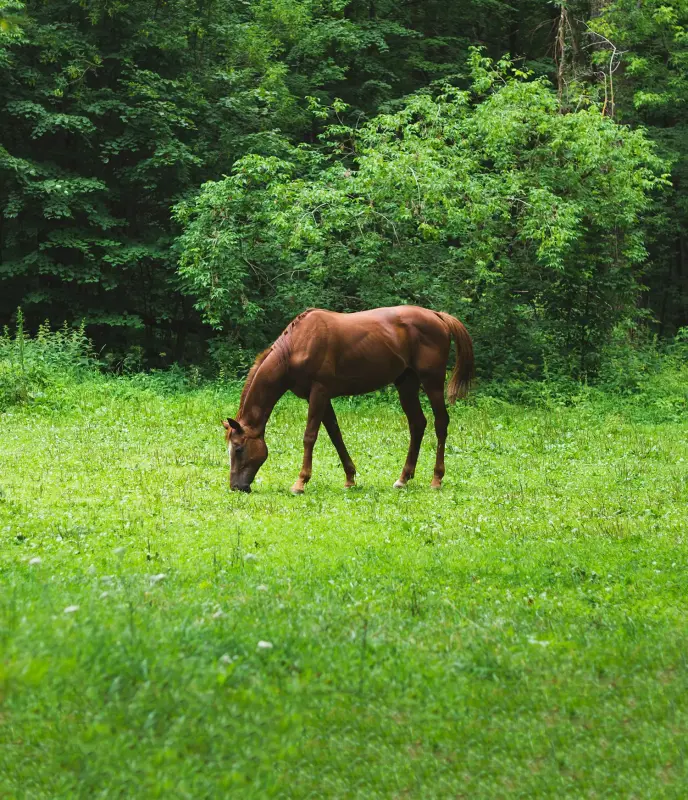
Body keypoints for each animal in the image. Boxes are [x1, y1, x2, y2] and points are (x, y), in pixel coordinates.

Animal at [223, 306, 476, 494]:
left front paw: (300, 482)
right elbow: (336, 435)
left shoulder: (319, 393)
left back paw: (436, 478)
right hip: (406, 384)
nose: (236, 487)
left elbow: (310, 437)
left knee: (440, 423)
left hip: (432, 382)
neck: (296, 346)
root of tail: (437, 316)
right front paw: (350, 478)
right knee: (417, 424)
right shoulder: (321, 397)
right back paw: (403, 478)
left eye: (238, 449)